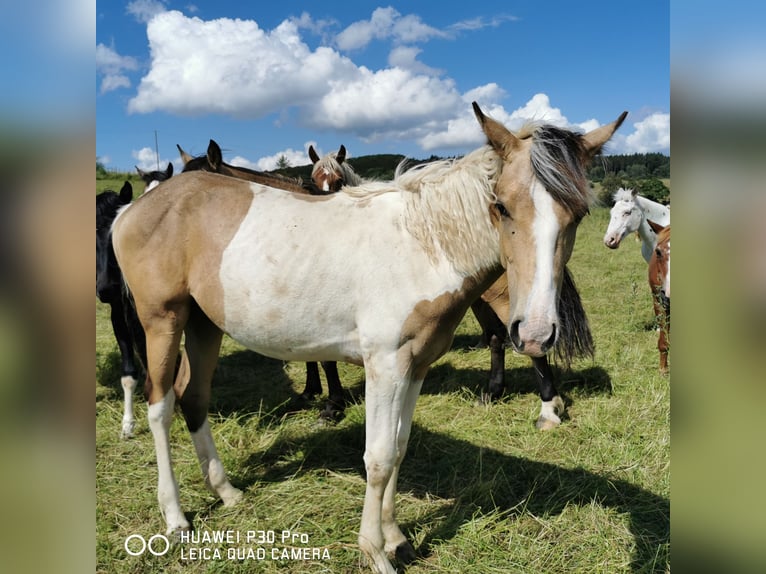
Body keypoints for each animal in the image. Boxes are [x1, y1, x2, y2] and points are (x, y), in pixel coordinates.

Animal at [112, 102, 626, 573]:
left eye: (579, 213)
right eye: (500, 205)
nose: (536, 332)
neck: (424, 244)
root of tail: (130, 211)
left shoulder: (415, 366)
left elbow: (398, 448)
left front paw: (398, 538)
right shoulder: (385, 365)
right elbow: (377, 457)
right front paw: (375, 552)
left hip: (204, 324)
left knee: (193, 397)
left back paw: (227, 492)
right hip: (162, 321)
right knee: (160, 406)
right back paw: (176, 519)